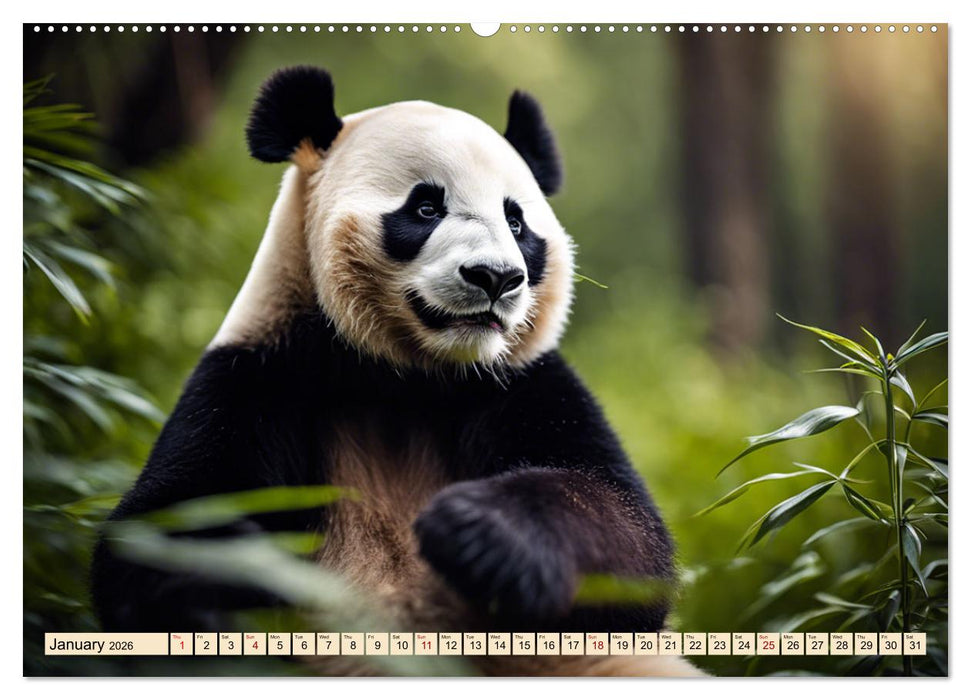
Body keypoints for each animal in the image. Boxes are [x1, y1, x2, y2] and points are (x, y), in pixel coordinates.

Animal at [91, 66, 702, 677]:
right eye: (426, 208)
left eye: (516, 221)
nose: (496, 277)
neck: (403, 378)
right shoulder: (254, 378)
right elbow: (160, 533)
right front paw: (232, 571)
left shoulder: (526, 382)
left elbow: (630, 540)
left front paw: (478, 532)